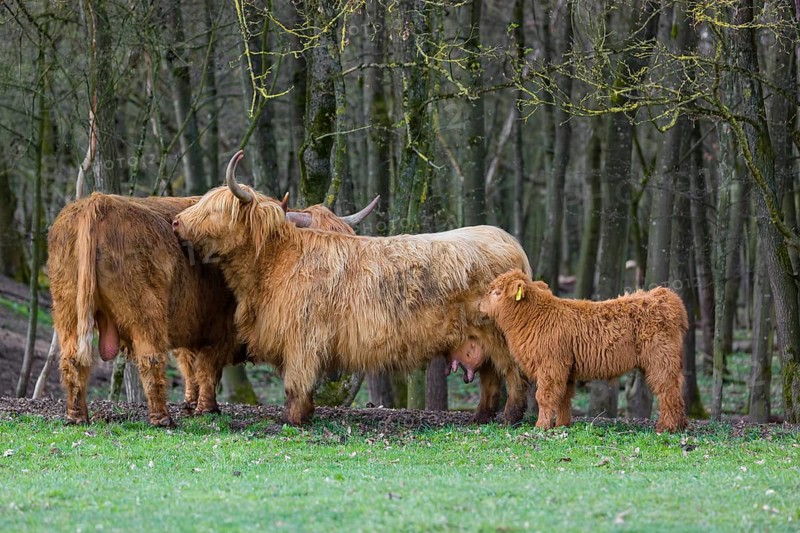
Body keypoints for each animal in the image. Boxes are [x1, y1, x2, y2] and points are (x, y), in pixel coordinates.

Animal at [49, 180, 376, 426]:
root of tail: (96, 203)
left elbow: (189, 367)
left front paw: (191, 403)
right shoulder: (220, 327)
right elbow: (207, 368)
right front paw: (206, 408)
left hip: (67, 307)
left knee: (72, 359)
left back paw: (76, 416)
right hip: (144, 310)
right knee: (150, 358)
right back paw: (162, 418)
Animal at [172, 150, 533, 426]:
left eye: (215, 209)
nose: (176, 221)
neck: (271, 264)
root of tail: (506, 239)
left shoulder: (302, 338)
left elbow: (295, 383)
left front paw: (293, 419)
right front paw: (307, 414)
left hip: (501, 336)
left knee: (514, 376)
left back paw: (510, 418)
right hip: (478, 337)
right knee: (490, 376)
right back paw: (481, 417)